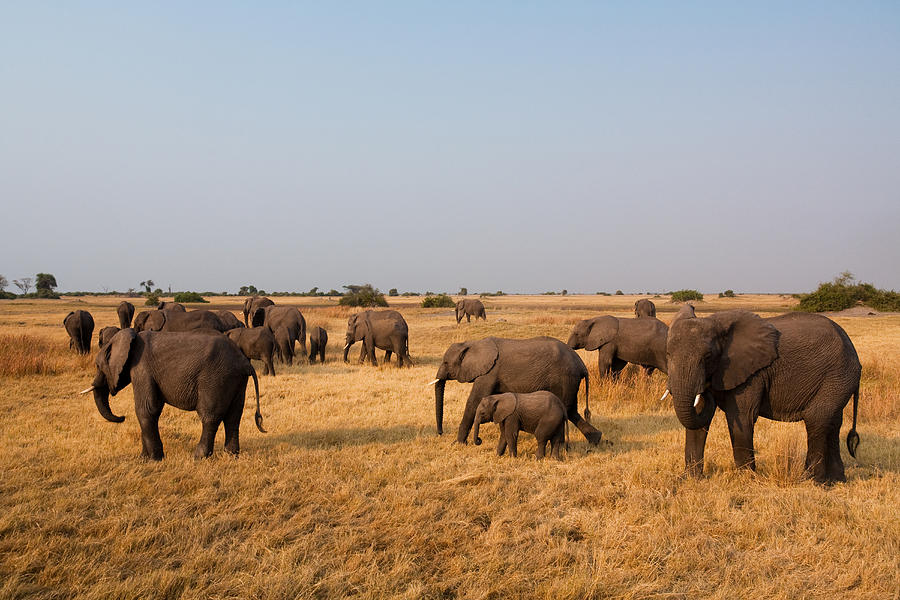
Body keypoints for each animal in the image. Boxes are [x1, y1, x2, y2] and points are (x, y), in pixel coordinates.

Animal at [80, 328, 266, 460]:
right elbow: (153, 409)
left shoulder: (142, 369)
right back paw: (231, 455)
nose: (122, 417)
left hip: (216, 377)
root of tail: (244, 362)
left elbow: (146, 410)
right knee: (233, 416)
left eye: (97, 366)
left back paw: (199, 457)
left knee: (209, 416)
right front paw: (142, 458)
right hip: (236, 380)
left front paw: (153, 459)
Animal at [426, 338, 600, 446]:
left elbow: (474, 402)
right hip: (569, 380)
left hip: (565, 379)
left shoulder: (489, 373)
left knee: (568, 410)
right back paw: (596, 440)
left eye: (446, 362)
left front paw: (458, 444)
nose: (440, 433)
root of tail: (582, 365)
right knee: (572, 411)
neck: (472, 343)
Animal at [664, 310, 860, 482]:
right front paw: (689, 479)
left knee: (817, 418)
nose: (706, 389)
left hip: (838, 374)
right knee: (833, 423)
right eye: (668, 354)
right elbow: (699, 420)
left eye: (707, 356)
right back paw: (835, 481)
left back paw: (811, 481)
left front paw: (746, 480)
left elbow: (741, 417)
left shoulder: (752, 374)